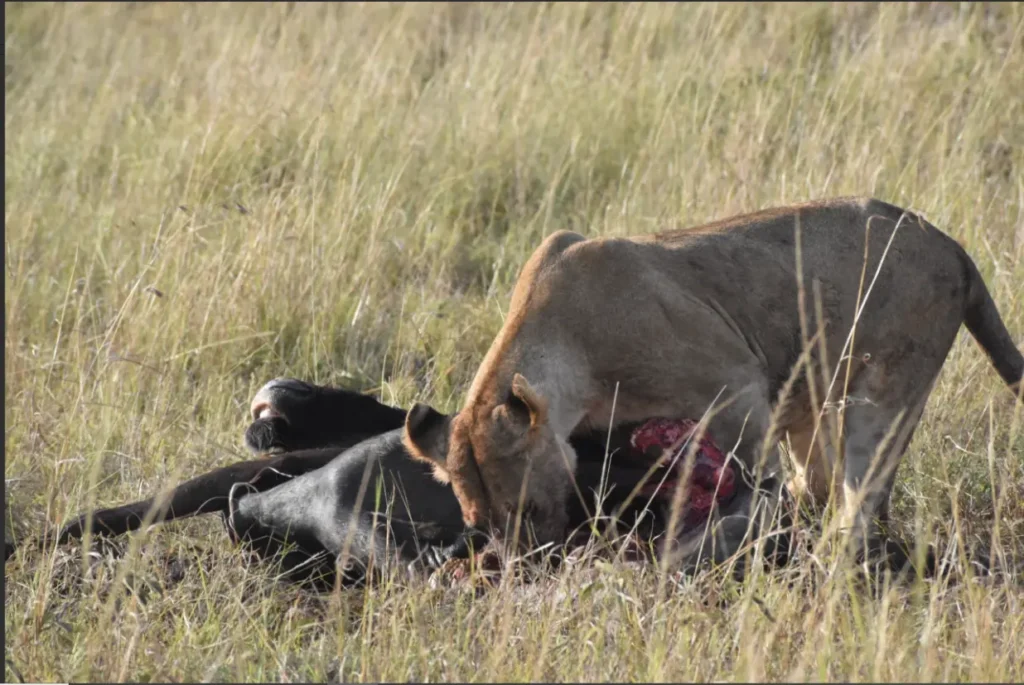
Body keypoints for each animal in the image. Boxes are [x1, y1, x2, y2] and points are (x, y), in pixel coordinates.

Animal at [403, 197, 1022, 572]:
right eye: (480, 525)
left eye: (529, 509)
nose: (530, 566)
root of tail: (954, 247)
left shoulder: (737, 385)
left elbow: (750, 484)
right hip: (814, 387)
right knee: (822, 481)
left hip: (885, 388)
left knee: (861, 493)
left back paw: (832, 554)